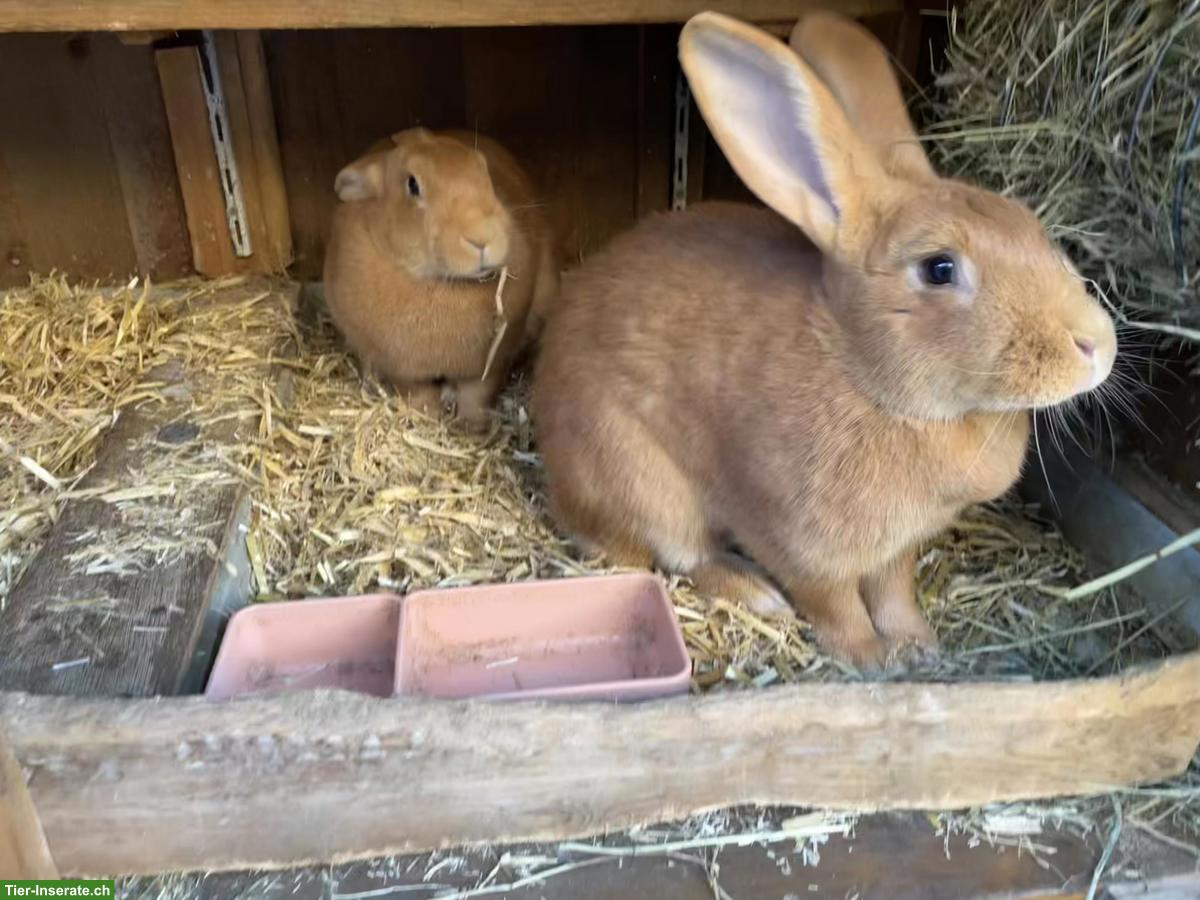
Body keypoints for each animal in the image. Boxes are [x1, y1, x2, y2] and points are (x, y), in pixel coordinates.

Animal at [324, 127, 560, 431]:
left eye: (483, 169)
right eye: (413, 185)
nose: (483, 236)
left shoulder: (488, 364)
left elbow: (476, 394)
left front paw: (471, 428)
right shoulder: (403, 369)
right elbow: (418, 393)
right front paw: (427, 418)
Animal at [532, 12, 1117, 670]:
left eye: (1030, 224)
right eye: (939, 269)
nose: (1097, 345)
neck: (871, 381)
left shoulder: (895, 549)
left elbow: (893, 590)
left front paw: (917, 645)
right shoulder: (798, 541)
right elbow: (833, 602)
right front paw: (868, 657)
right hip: (641, 483)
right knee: (679, 553)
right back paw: (756, 593)